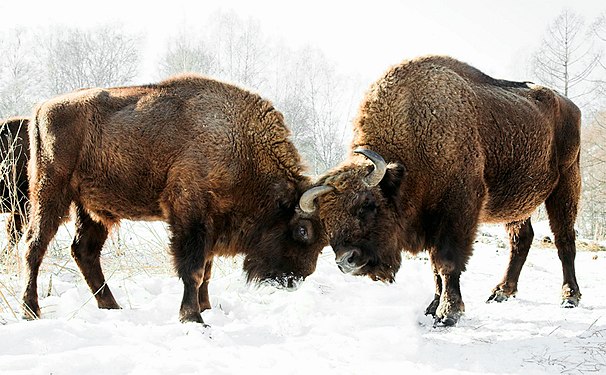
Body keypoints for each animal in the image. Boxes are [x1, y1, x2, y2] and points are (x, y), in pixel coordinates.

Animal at [21, 75, 328, 324]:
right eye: (302, 230)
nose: (294, 279)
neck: (239, 142)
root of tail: (41, 108)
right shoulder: (190, 214)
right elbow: (193, 269)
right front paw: (193, 317)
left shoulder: (211, 225)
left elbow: (206, 270)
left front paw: (206, 308)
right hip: (50, 193)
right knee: (35, 245)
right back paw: (30, 310)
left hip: (90, 207)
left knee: (84, 251)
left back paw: (111, 306)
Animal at [300, 55, 584, 326]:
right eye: (326, 219)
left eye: (367, 205)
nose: (346, 261)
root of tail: (570, 105)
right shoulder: (429, 222)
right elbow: (434, 269)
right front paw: (432, 308)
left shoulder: (457, 211)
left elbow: (447, 263)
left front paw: (449, 313)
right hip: (518, 204)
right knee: (521, 240)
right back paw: (501, 291)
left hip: (566, 183)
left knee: (564, 239)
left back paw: (570, 296)